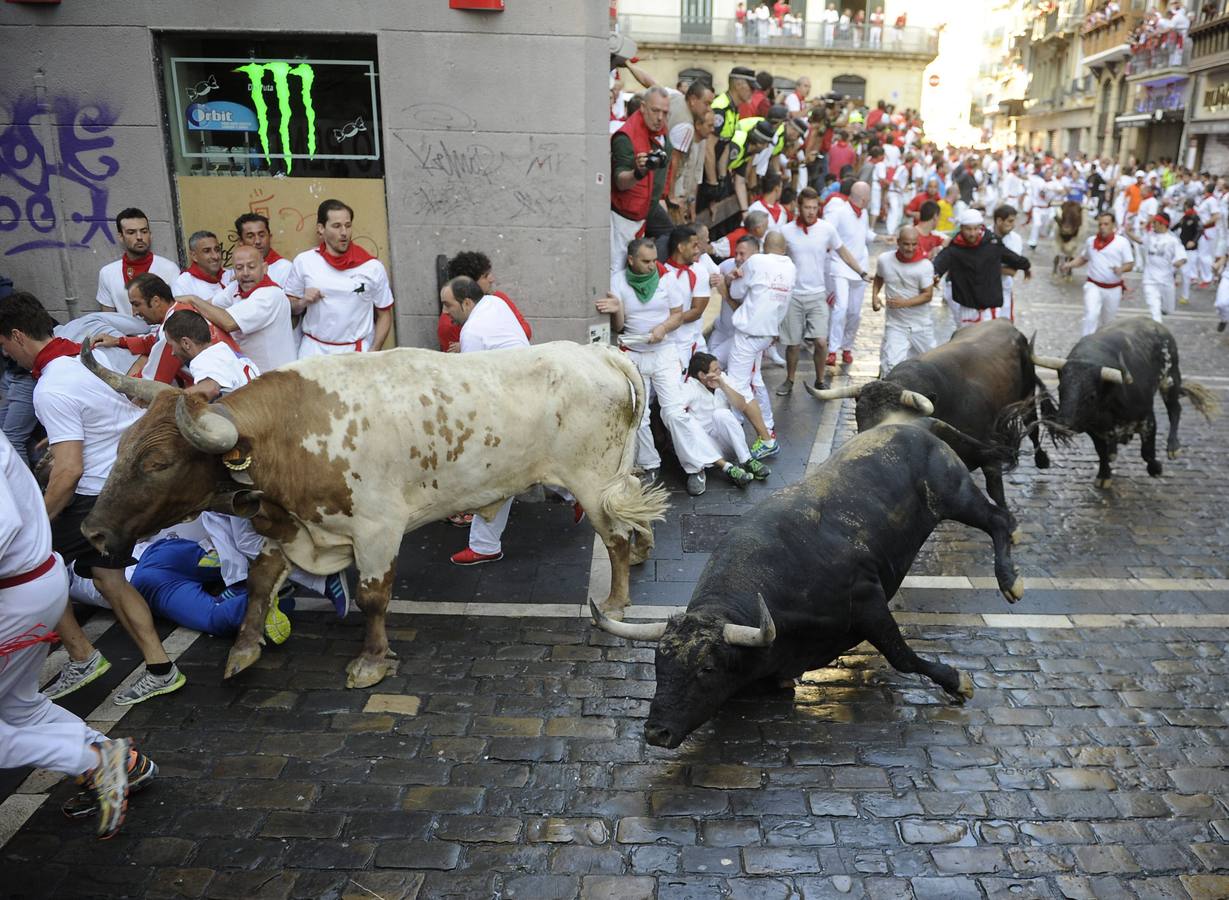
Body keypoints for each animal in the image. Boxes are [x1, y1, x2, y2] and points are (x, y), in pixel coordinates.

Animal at [80, 341, 668, 683]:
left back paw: (616, 602)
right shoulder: (295, 525)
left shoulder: (377, 528)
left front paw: (371, 660)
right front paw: (244, 648)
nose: (92, 532)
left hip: (592, 482)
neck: (288, 431)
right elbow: (260, 579)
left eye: (157, 462)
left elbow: (372, 596)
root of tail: (600, 354)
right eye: (121, 447)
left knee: (614, 537)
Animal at [589, 418, 1022, 747]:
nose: (656, 732)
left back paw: (1010, 581)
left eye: (707, 669)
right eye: (659, 664)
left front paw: (957, 681)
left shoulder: (868, 602)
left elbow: (902, 656)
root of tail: (913, 426)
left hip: (955, 495)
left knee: (999, 519)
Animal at [806, 319, 1056, 509]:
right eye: (858, 418)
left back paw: (1042, 459)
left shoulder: (990, 455)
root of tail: (1005, 323)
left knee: (1033, 426)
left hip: (1027, 394)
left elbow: (997, 495)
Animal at [1037, 317, 1219, 484]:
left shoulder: (1148, 420)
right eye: (1060, 389)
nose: (1061, 425)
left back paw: (1173, 447)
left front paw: (1156, 469)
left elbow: (1147, 453)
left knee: (1175, 409)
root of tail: (1156, 325)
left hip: (1170, 379)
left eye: (1092, 395)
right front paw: (1104, 475)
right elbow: (1101, 451)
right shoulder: (1092, 428)